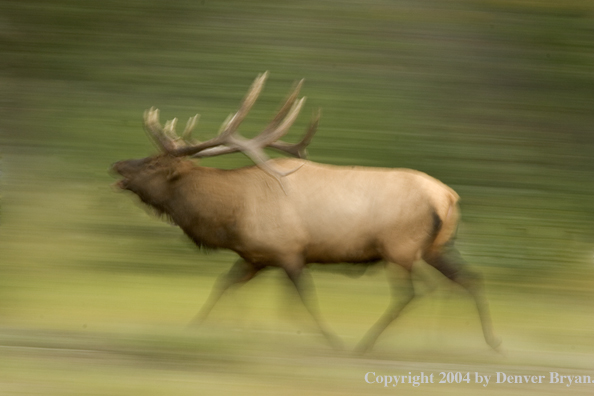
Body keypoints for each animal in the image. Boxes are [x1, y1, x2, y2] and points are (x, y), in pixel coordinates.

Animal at [112, 71, 500, 352]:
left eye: (153, 164)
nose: (117, 165)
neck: (231, 213)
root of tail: (448, 197)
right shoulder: (256, 256)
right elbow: (224, 286)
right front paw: (196, 327)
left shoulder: (290, 250)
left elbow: (301, 302)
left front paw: (331, 340)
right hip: (437, 247)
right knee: (470, 279)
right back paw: (488, 342)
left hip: (399, 246)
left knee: (414, 293)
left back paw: (366, 344)